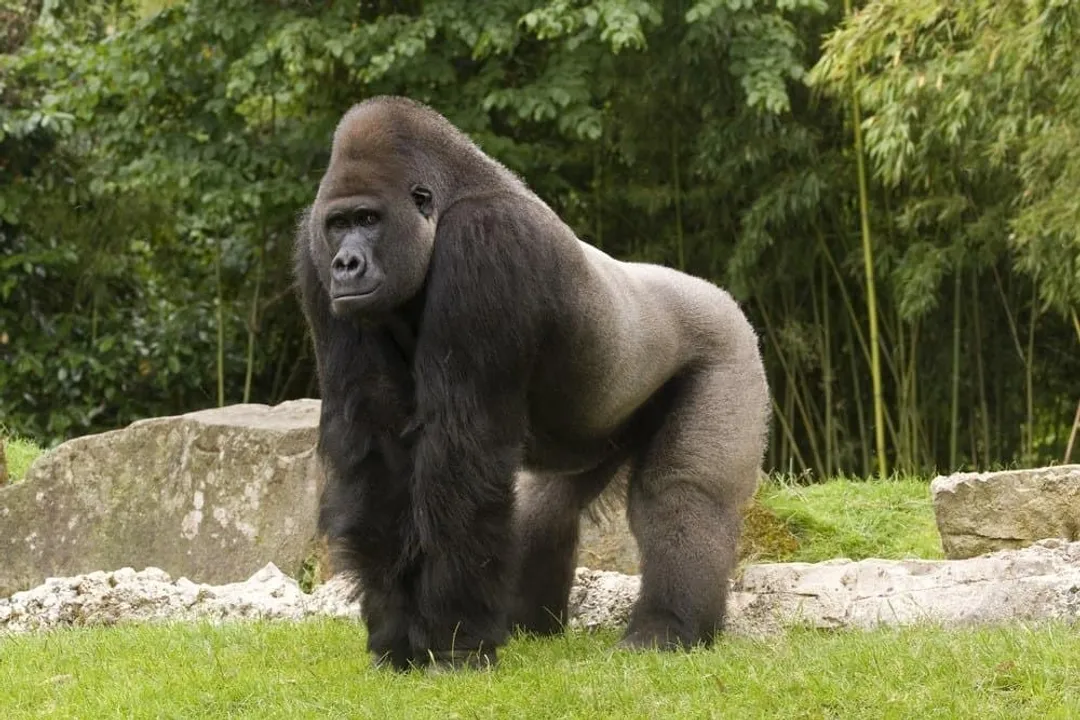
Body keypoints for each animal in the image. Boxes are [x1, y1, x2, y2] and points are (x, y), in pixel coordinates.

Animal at [293, 95, 770, 672]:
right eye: (338, 224)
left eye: (368, 219)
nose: (346, 263)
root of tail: (718, 295)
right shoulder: (313, 258)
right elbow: (376, 443)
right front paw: (396, 636)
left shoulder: (485, 241)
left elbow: (461, 445)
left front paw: (456, 641)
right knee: (543, 505)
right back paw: (527, 626)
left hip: (729, 348)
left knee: (681, 493)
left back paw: (668, 628)